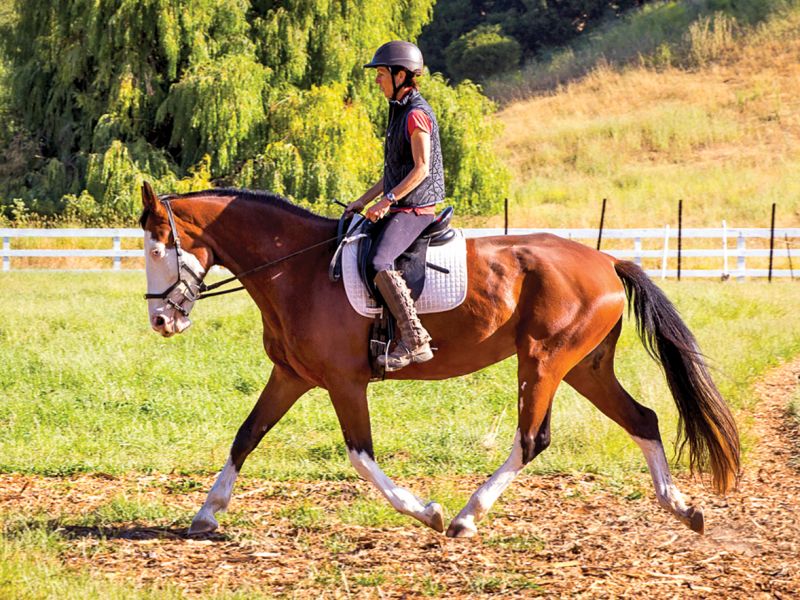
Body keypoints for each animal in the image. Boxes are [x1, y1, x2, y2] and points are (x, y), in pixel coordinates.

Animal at [140, 182, 740, 538]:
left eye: (156, 249)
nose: (161, 322)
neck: (298, 270)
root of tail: (608, 260)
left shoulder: (344, 383)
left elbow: (360, 455)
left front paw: (423, 510)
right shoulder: (290, 376)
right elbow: (246, 436)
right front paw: (206, 513)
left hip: (543, 361)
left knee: (532, 439)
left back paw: (465, 517)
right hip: (585, 368)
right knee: (644, 419)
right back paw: (681, 507)